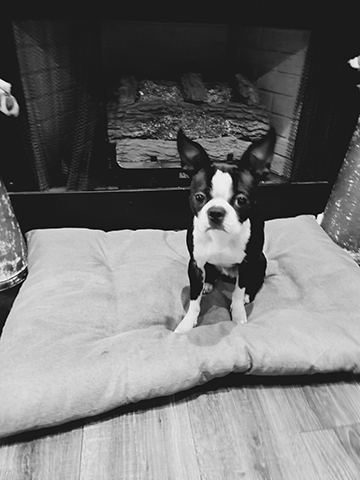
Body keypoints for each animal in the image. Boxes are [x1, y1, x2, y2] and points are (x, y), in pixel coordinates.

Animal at [176, 127, 278, 334]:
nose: (216, 212)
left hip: (260, 261)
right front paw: (187, 323)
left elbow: (238, 293)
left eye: (241, 200)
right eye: (199, 197)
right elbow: (194, 299)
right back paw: (208, 283)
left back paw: (248, 295)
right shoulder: (195, 264)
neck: (220, 237)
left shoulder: (247, 264)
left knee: (255, 282)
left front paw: (238, 315)